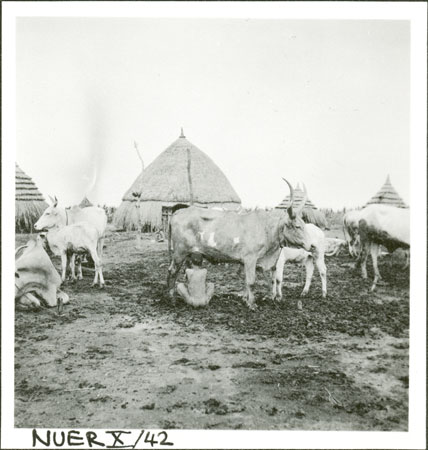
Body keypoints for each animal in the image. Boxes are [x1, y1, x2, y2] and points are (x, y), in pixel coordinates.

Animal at [167, 177, 310, 310]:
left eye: (304, 224)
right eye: (297, 226)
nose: (311, 245)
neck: (266, 228)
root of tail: (178, 212)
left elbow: (247, 281)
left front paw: (246, 300)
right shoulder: (250, 258)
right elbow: (251, 282)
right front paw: (252, 304)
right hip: (179, 252)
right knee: (172, 272)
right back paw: (171, 300)